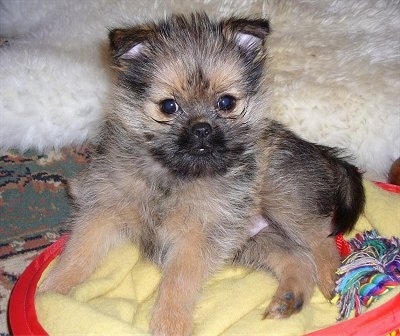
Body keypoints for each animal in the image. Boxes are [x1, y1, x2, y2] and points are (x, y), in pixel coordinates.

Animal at [39, 13, 362, 336]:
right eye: (168, 106)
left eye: (226, 103)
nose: (202, 128)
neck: (171, 175)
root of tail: (320, 152)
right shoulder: (103, 210)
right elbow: (78, 253)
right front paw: (51, 291)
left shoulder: (197, 235)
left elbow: (178, 280)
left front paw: (170, 322)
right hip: (257, 239)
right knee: (298, 257)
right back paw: (289, 298)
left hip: (284, 197)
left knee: (320, 239)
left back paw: (333, 280)